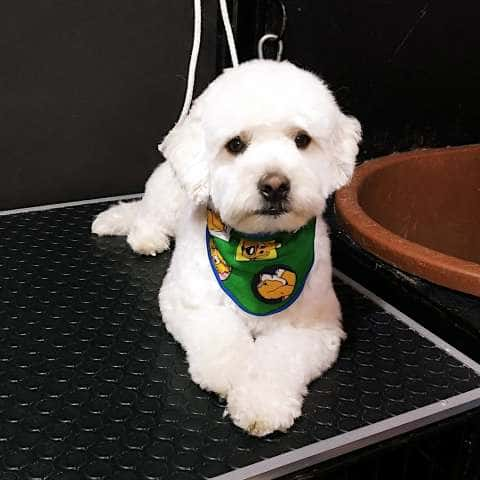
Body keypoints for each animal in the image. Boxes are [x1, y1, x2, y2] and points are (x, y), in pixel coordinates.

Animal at [92, 59, 360, 436]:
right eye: (235, 144)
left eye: (302, 140)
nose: (275, 185)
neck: (259, 246)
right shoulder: (191, 302)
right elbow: (221, 338)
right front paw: (234, 374)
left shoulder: (311, 325)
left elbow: (279, 360)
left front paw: (261, 402)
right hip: (164, 199)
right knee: (145, 217)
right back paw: (147, 237)